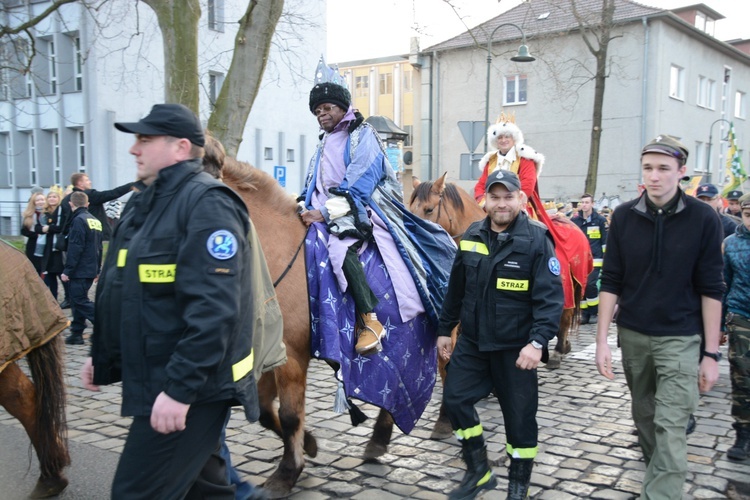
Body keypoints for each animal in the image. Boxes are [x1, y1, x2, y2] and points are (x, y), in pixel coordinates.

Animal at [220, 158, 402, 494]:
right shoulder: (270, 356)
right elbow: (264, 411)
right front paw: (309, 444)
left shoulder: (292, 356)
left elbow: (289, 414)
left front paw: (287, 472)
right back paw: (380, 439)